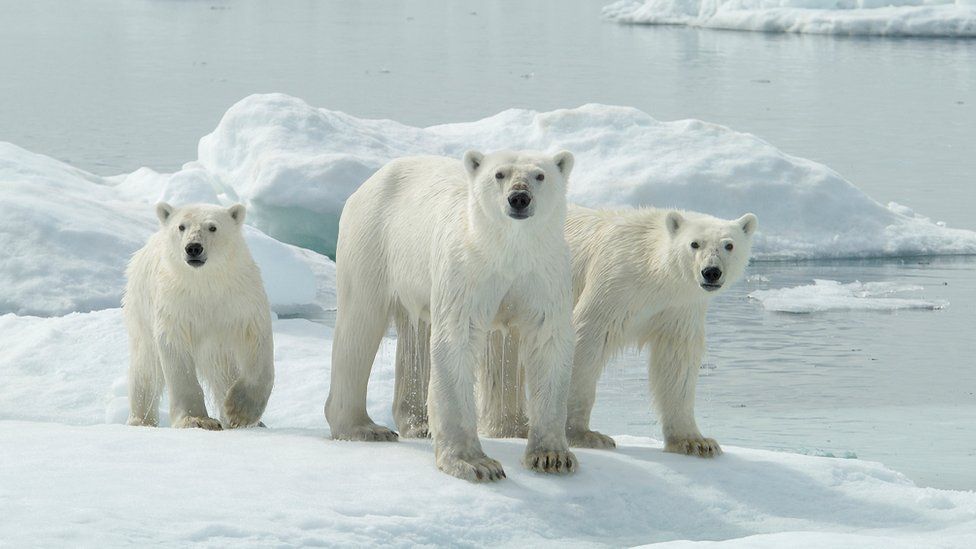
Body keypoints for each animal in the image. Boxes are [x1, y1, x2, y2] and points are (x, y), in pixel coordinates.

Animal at [124, 201, 274, 428]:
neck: (204, 283)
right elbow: (176, 355)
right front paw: (197, 420)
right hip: (140, 310)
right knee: (146, 367)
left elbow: (257, 344)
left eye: (212, 227)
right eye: (181, 226)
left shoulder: (240, 300)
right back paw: (140, 420)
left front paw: (238, 412)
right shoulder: (175, 305)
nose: (193, 247)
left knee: (223, 372)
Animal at [326, 149, 580, 480]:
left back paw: (423, 423)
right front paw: (476, 464)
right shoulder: (467, 270)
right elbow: (457, 339)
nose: (519, 198)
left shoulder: (544, 274)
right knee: (359, 325)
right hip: (373, 241)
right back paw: (364, 428)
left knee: (417, 334)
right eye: (499, 174)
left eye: (540, 175)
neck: (507, 250)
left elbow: (548, 342)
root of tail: (372, 179)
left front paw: (551, 456)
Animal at [392, 206, 760, 454]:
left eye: (728, 245)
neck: (652, 274)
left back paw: (512, 424)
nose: (711, 272)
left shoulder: (679, 308)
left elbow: (677, 363)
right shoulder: (614, 282)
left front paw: (695, 441)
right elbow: (586, 339)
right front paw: (584, 434)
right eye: (694, 244)